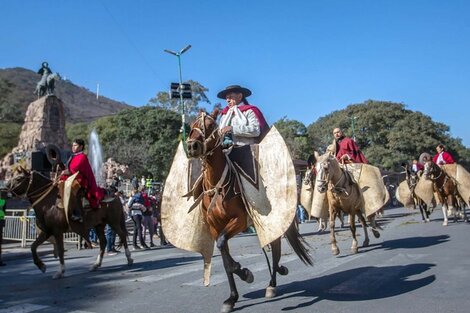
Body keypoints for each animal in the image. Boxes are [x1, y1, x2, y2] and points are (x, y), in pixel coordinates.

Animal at [186, 110, 312, 312]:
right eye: (191, 126)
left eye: (211, 126)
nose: (192, 146)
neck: (217, 186)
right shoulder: (215, 227)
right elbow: (224, 257)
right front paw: (232, 296)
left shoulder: (239, 221)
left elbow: (223, 246)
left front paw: (244, 273)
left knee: (275, 250)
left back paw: (272, 284)